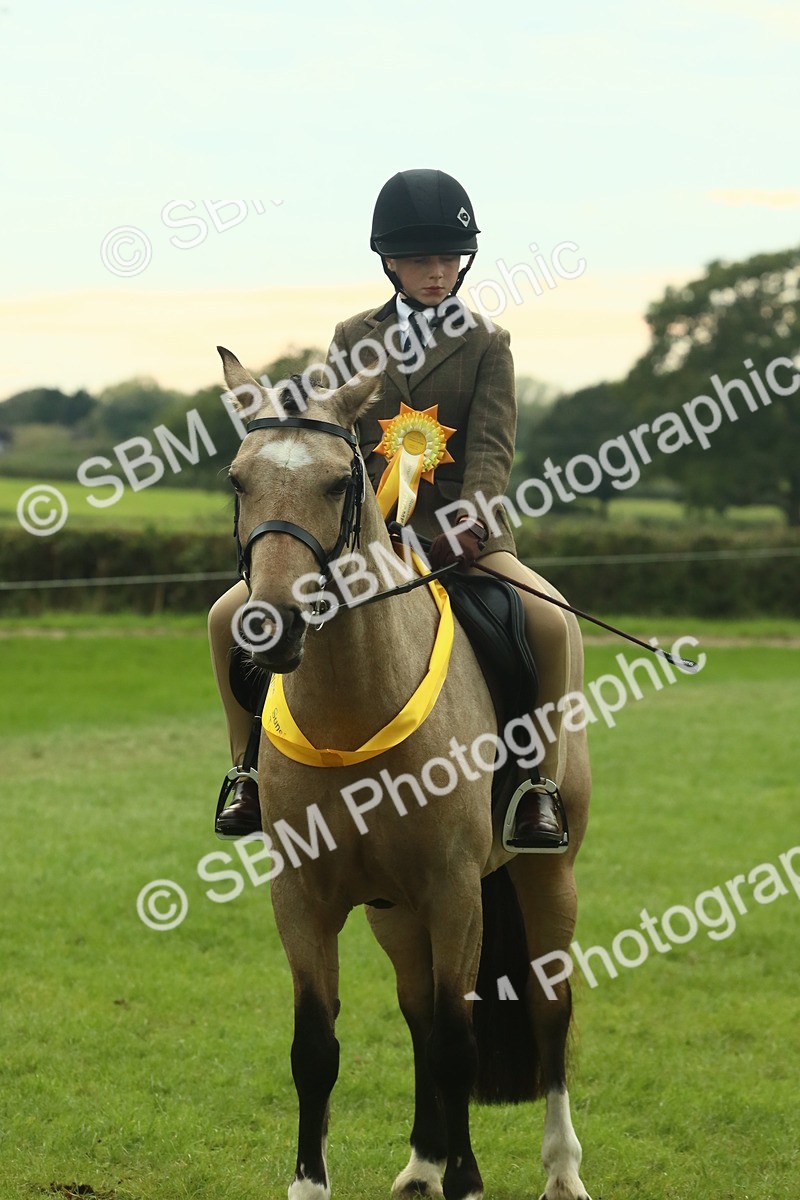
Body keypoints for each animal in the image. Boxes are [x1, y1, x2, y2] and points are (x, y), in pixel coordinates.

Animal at [219, 347, 593, 1200]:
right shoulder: (302, 899)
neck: (351, 710)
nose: (268, 628)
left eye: (339, 482)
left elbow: (460, 1045)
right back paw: (424, 1163)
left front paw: (469, 1181)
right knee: (419, 1010)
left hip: (542, 877)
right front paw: (311, 1184)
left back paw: (561, 1171)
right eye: (237, 480)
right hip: (395, 911)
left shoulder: (455, 891)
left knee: (548, 1010)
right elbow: (316, 1049)